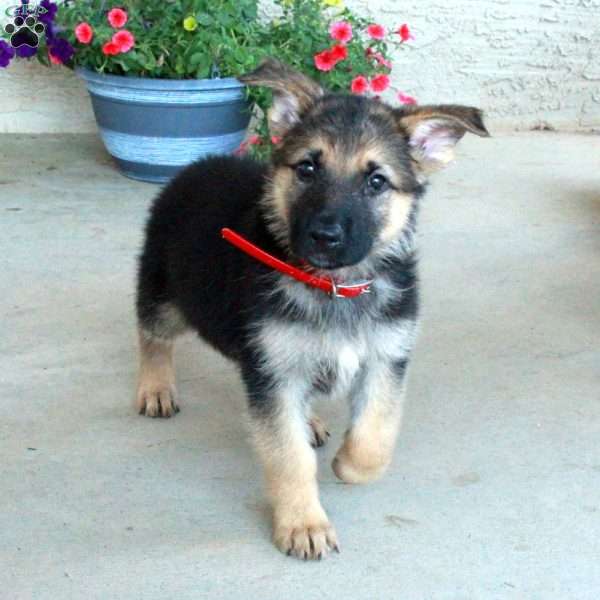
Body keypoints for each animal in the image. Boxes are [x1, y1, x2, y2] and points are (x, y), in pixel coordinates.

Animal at [136, 58, 488, 560]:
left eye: (376, 181)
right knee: (152, 336)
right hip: (166, 292)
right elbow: (289, 457)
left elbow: (376, 435)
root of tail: (200, 164)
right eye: (307, 168)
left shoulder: (386, 358)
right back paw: (156, 388)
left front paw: (347, 465)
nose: (325, 236)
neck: (335, 287)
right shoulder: (274, 372)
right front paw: (303, 524)